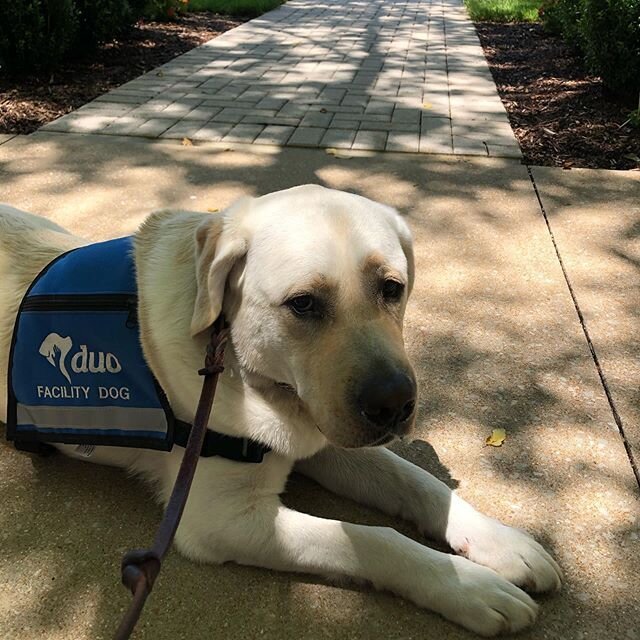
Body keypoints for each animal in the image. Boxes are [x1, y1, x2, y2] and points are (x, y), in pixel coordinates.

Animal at [0, 185, 560, 636]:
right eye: (303, 303)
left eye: (392, 288)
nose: (394, 403)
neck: (241, 367)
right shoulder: (222, 518)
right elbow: (375, 539)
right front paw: (468, 587)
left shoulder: (327, 434)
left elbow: (419, 483)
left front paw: (500, 544)